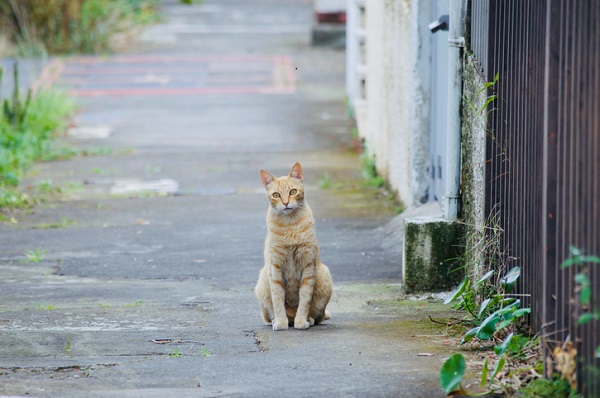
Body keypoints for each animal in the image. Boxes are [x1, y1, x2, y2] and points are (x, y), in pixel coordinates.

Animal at [254, 162, 332, 330]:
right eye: (276, 195)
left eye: (293, 191)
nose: (285, 203)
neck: (290, 226)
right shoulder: (275, 269)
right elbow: (277, 299)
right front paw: (280, 322)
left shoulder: (308, 266)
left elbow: (305, 299)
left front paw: (301, 321)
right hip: (262, 282)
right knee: (270, 315)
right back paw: (279, 320)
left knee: (319, 316)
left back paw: (307, 319)